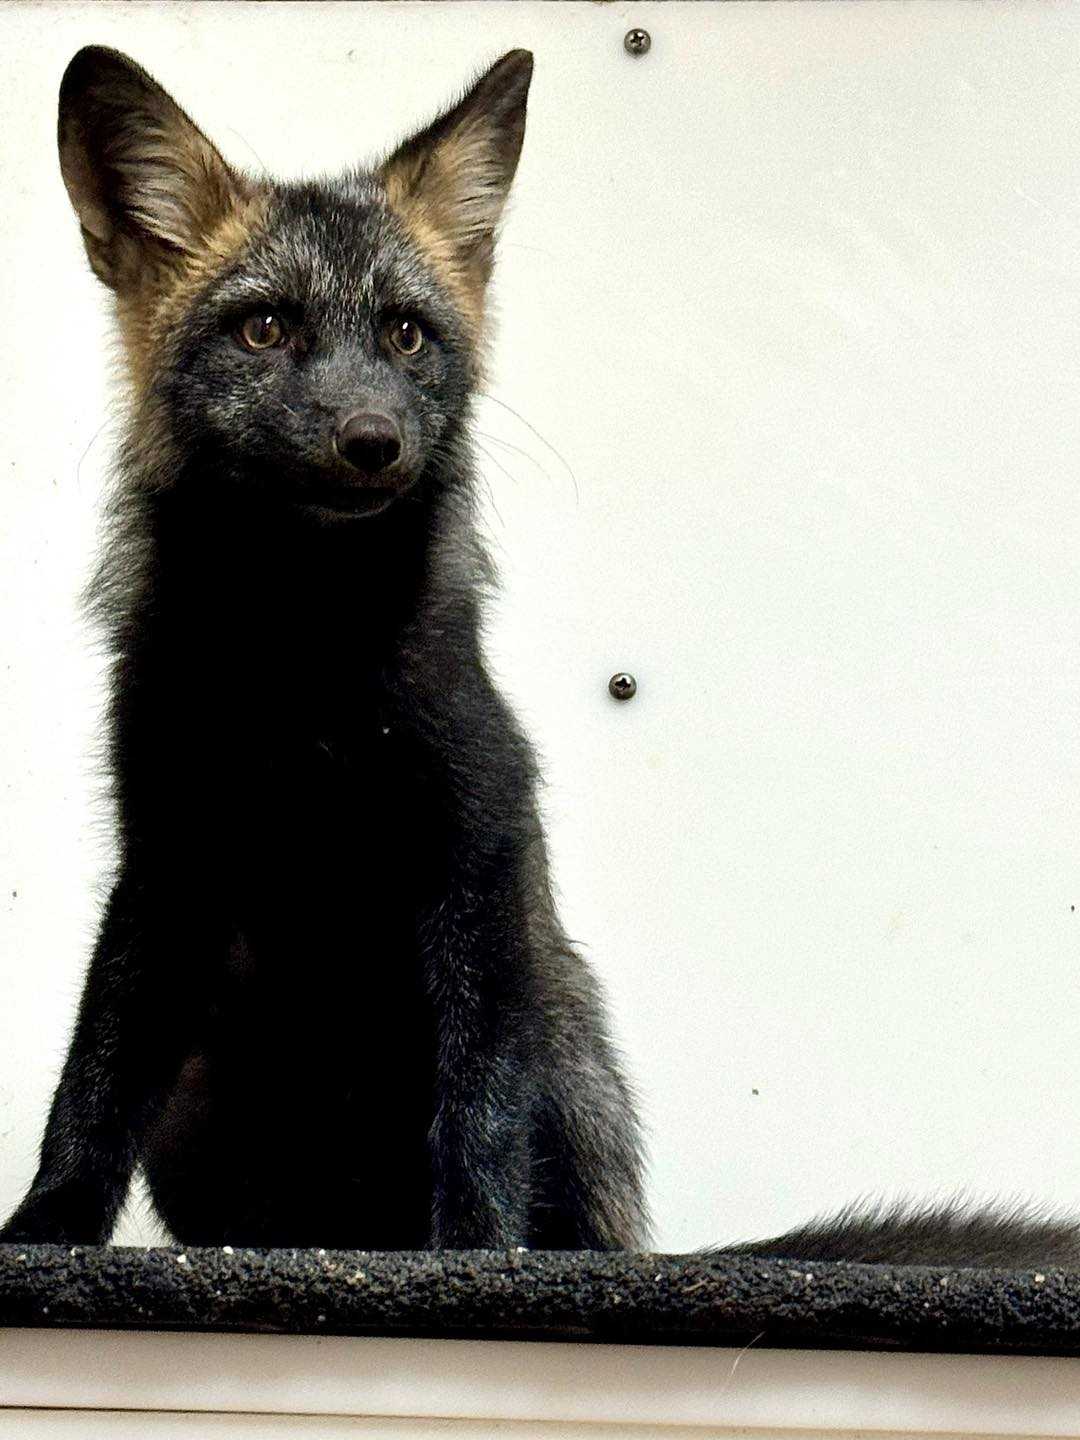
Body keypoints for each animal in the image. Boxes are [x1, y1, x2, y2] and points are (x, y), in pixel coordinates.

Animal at [2, 45, 1078, 1270]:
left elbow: (476, 1118)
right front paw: (44, 1229)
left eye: (407, 334)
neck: (308, 673)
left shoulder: (481, 842)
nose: (372, 441)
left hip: (555, 1015)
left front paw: (474, 1260)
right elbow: (88, 1088)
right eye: (264, 329)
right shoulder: (166, 859)